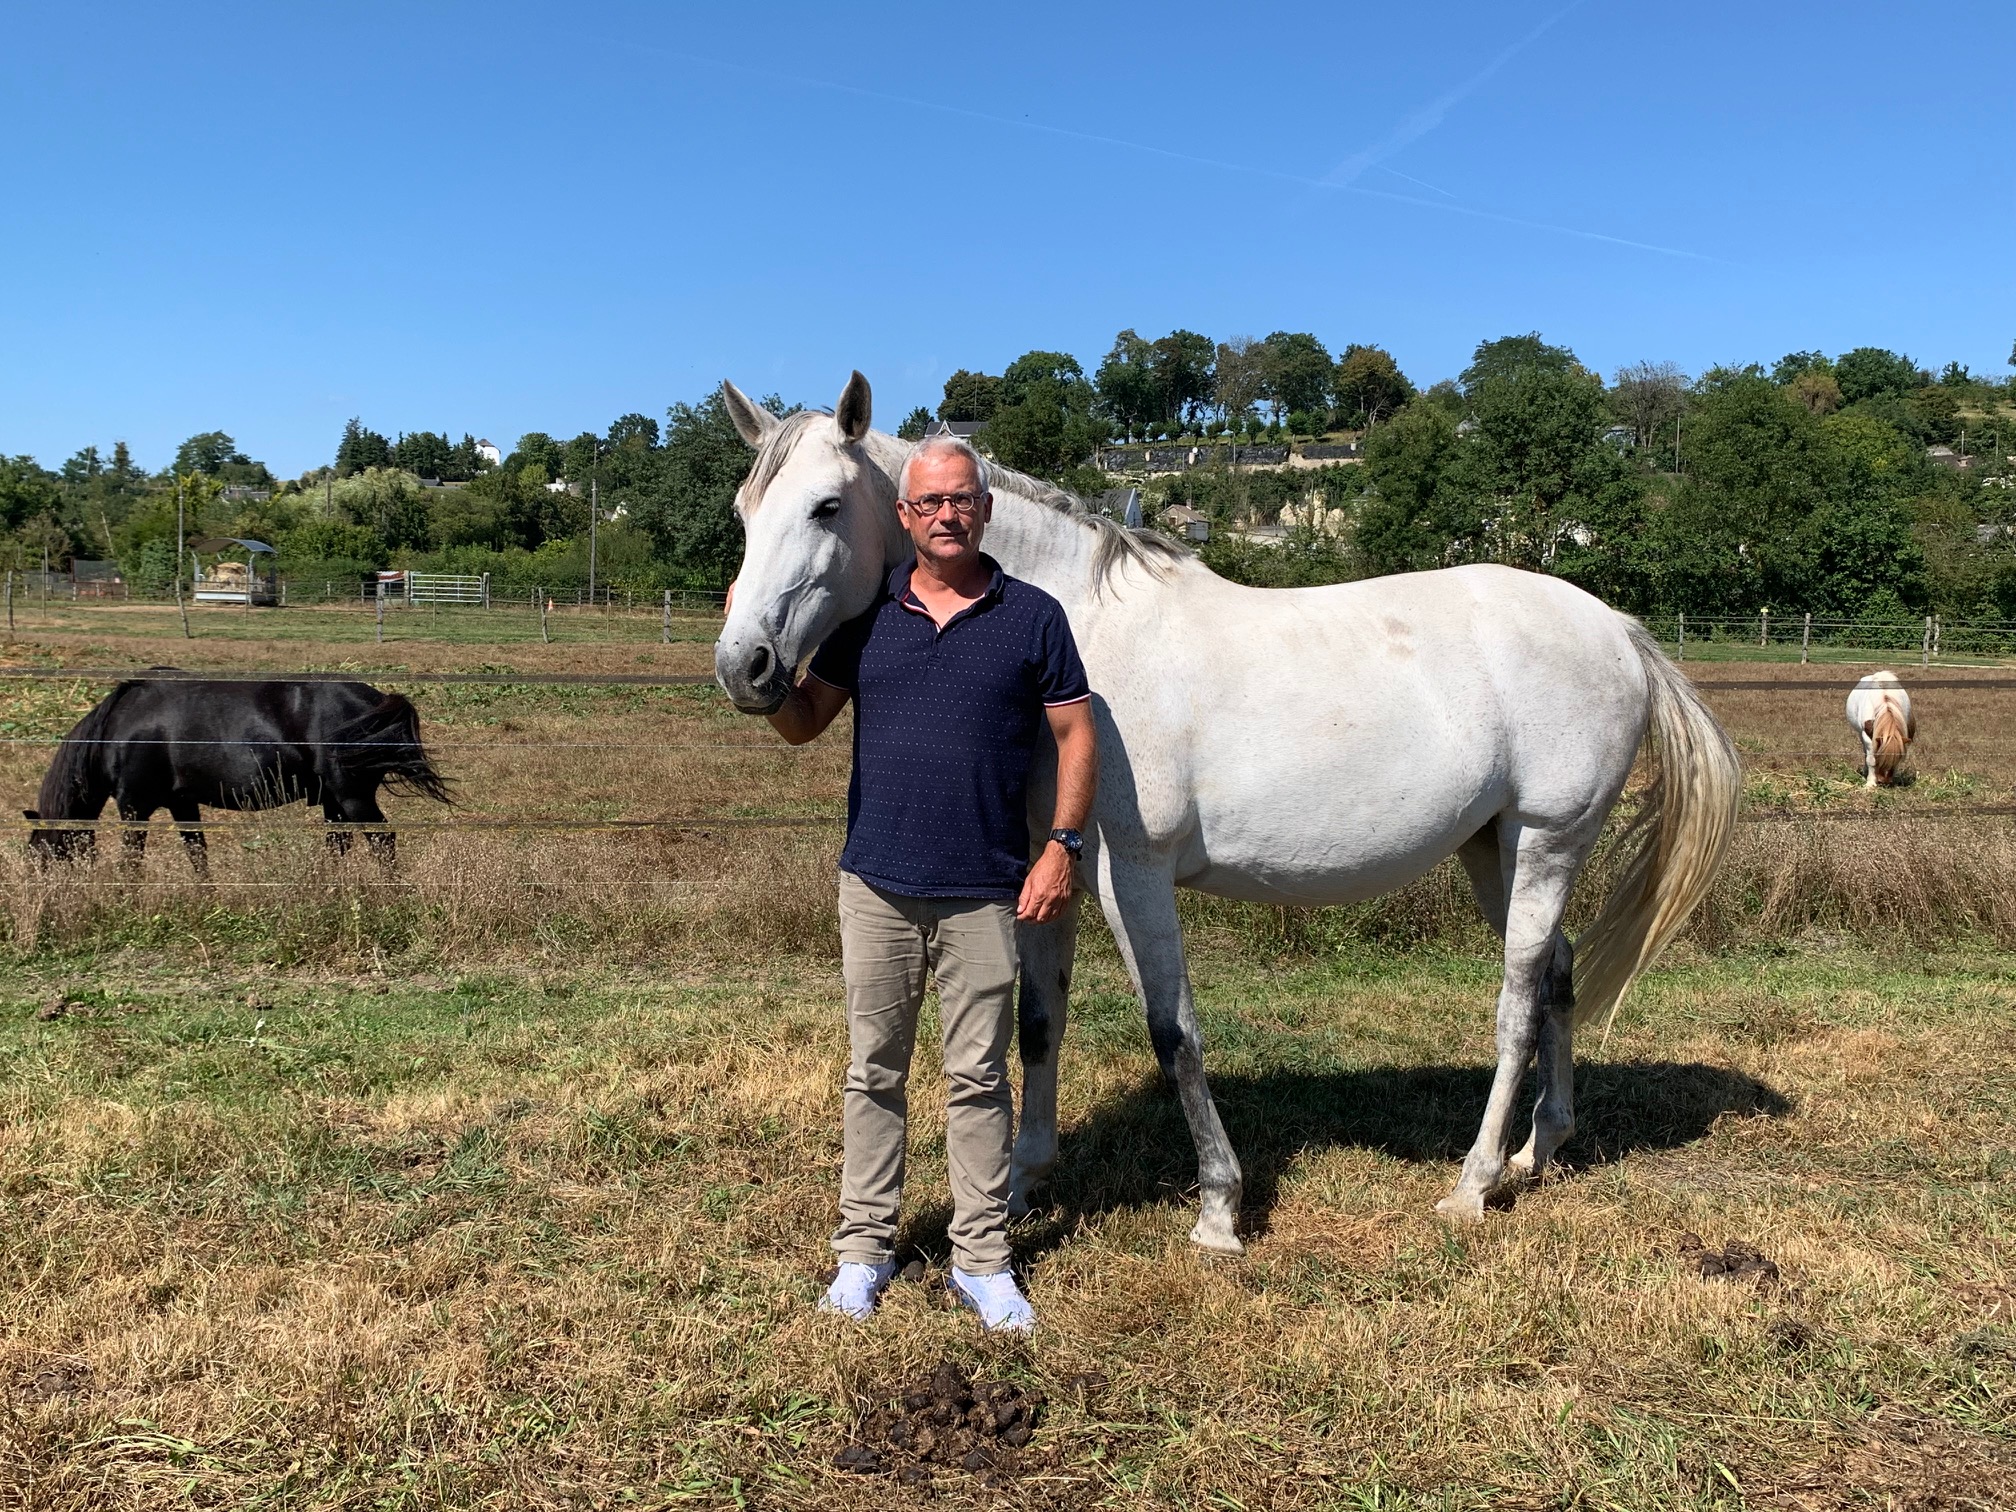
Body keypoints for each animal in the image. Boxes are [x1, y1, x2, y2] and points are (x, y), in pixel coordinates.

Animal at [25, 675, 451, 873]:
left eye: (39, 856)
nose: (47, 903)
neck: (118, 727)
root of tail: (378, 700)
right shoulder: (182, 804)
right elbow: (197, 853)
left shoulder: (134, 805)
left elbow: (131, 859)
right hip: (333, 799)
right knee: (339, 845)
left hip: (352, 796)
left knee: (382, 841)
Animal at [714, 373, 1741, 1248]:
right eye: (744, 512)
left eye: (827, 506)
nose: (744, 668)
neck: (1080, 636)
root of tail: (1617, 629)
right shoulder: (1049, 870)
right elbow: (1039, 1022)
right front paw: (1021, 1182)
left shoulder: (1131, 875)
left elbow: (1174, 1031)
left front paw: (1218, 1207)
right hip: (1495, 850)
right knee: (1559, 975)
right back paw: (1540, 1150)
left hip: (1547, 843)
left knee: (1520, 1001)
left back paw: (1473, 1184)